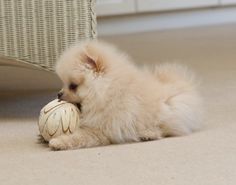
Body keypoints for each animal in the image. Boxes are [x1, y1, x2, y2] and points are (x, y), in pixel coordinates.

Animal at [50, 40, 203, 150]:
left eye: (73, 86)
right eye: (63, 83)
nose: (59, 94)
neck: (107, 91)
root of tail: (182, 82)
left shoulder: (102, 129)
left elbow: (80, 137)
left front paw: (58, 141)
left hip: (172, 109)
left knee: (166, 128)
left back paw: (149, 133)